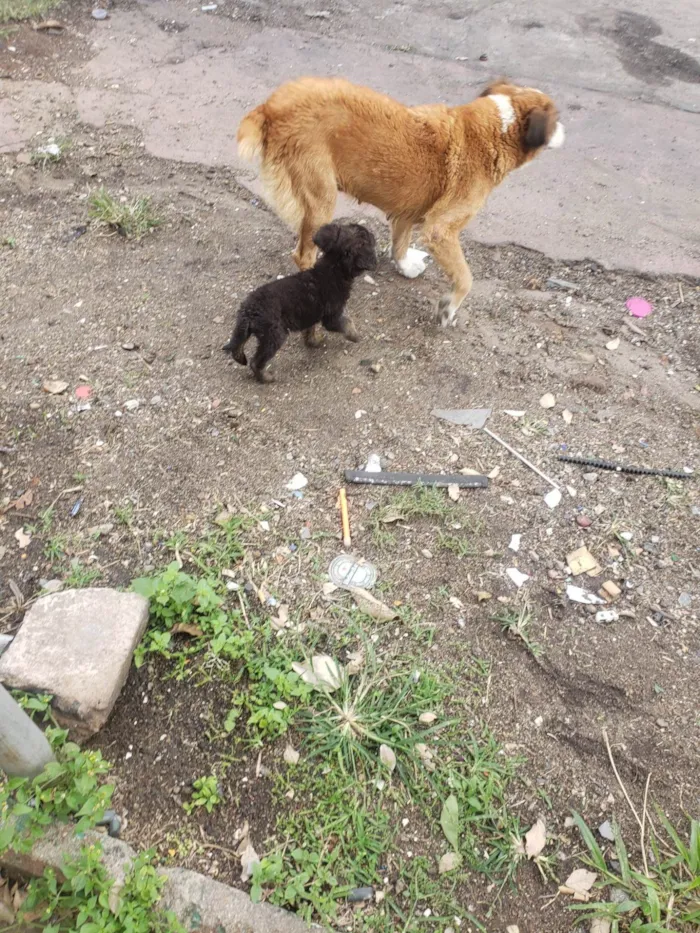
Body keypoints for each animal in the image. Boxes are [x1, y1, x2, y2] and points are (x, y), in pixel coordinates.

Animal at [224, 222, 378, 382]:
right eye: (366, 235)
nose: (374, 235)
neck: (333, 267)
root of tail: (249, 311)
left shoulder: (310, 313)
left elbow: (310, 330)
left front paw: (313, 342)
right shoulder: (332, 316)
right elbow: (347, 323)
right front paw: (354, 336)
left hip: (247, 329)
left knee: (237, 344)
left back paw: (239, 357)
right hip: (275, 335)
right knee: (256, 361)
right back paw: (266, 378)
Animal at [237, 76, 564, 338]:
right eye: (556, 116)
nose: (565, 129)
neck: (498, 128)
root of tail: (271, 107)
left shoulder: (406, 210)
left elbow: (400, 243)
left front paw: (405, 266)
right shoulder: (440, 230)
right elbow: (465, 277)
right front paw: (448, 308)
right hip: (321, 197)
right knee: (303, 254)